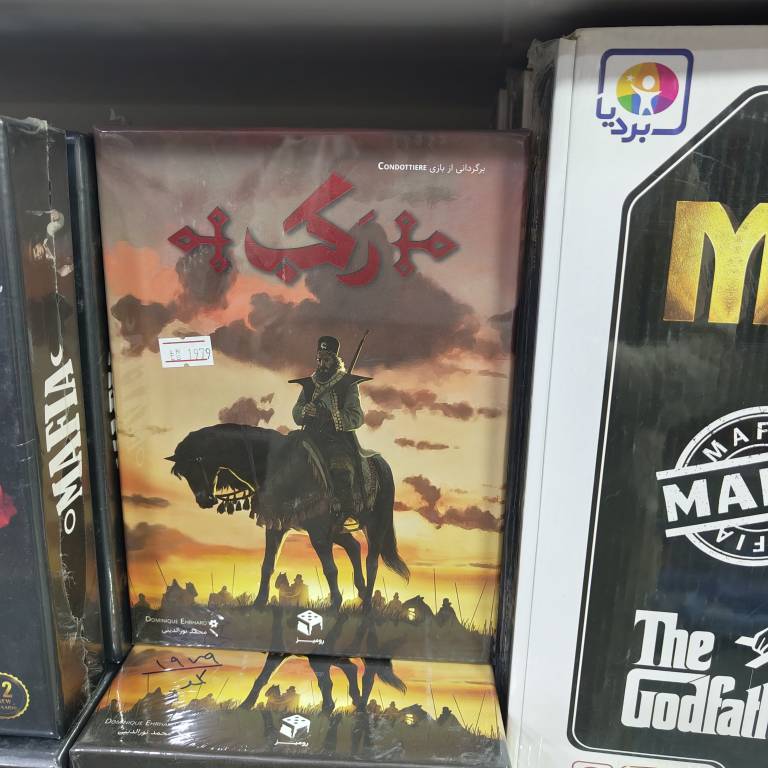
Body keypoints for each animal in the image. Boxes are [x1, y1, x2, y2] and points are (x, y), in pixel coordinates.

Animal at [166, 423, 409, 609]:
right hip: (333, 529)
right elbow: (267, 565)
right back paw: (361, 592)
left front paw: (335, 604)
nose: (204, 500)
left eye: (196, 464)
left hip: (375, 524)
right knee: (354, 546)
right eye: (184, 473)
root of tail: (381, 463)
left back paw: (367, 604)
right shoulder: (277, 525)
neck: (276, 463)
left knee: (372, 561)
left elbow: (330, 568)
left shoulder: (318, 530)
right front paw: (259, 603)